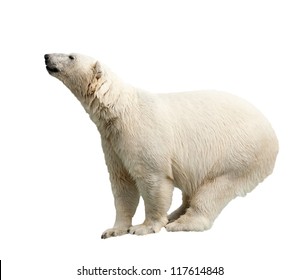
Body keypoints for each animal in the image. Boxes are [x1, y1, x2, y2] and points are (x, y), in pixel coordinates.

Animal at [44, 53, 278, 238]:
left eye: (71, 56)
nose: (46, 56)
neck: (120, 109)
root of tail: (273, 134)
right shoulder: (113, 142)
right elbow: (122, 183)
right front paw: (113, 230)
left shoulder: (142, 135)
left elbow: (152, 178)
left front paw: (144, 227)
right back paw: (176, 214)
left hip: (240, 153)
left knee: (217, 188)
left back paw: (181, 223)